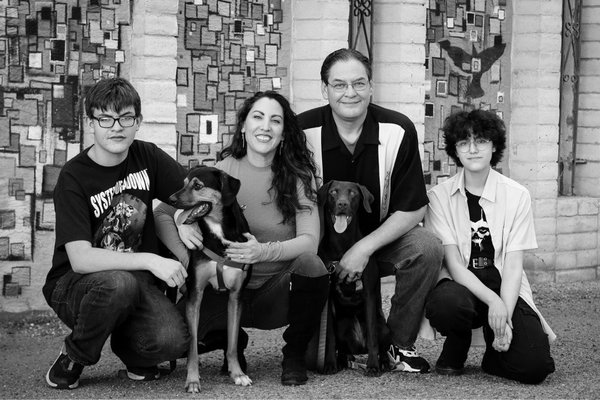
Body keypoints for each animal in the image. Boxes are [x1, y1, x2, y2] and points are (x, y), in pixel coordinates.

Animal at [169, 165, 253, 390]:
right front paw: (192, 380)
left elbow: (232, 342)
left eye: (198, 185)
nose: (171, 199)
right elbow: (192, 347)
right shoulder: (195, 294)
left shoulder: (236, 297)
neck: (218, 230)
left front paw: (237, 374)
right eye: (183, 183)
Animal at [316, 180, 392, 376]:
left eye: (352, 193)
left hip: (384, 328)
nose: (342, 204)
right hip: (342, 326)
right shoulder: (328, 297)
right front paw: (329, 364)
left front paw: (373, 366)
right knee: (342, 347)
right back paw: (342, 361)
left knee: (382, 346)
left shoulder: (369, 294)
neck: (342, 243)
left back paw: (384, 363)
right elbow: (329, 337)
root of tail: (359, 345)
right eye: (334, 192)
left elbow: (372, 336)